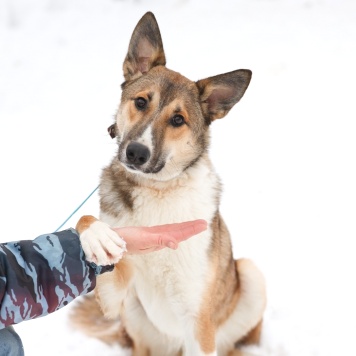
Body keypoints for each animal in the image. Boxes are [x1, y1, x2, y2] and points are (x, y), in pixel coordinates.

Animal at [73, 11, 268, 356]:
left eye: (178, 120)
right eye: (140, 102)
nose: (136, 152)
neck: (159, 190)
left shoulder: (198, 321)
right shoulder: (114, 297)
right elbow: (87, 220)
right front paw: (97, 237)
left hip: (249, 275)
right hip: (135, 319)